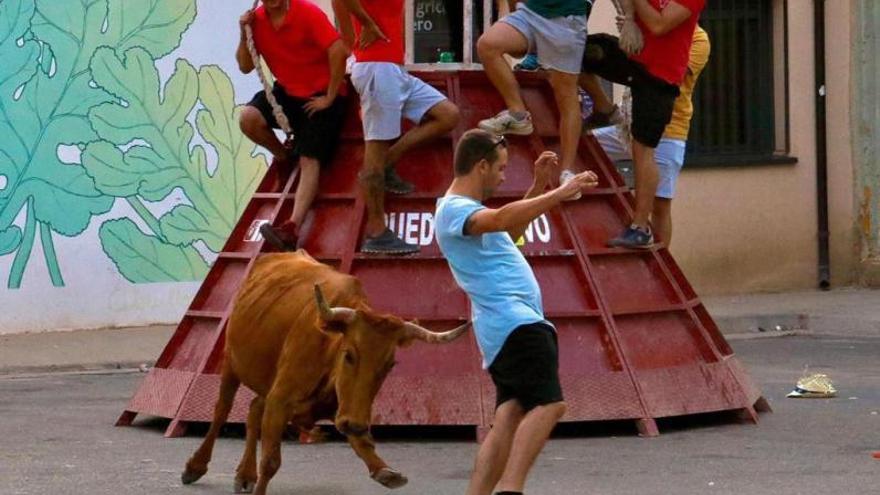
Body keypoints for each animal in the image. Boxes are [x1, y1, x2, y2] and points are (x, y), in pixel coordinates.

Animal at [178, 254, 468, 494]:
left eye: (389, 365)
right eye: (349, 354)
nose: (356, 423)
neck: (329, 356)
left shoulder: (341, 407)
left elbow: (362, 442)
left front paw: (384, 471)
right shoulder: (280, 400)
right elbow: (271, 460)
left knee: (253, 409)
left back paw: (245, 474)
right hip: (231, 363)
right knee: (222, 410)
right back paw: (196, 466)